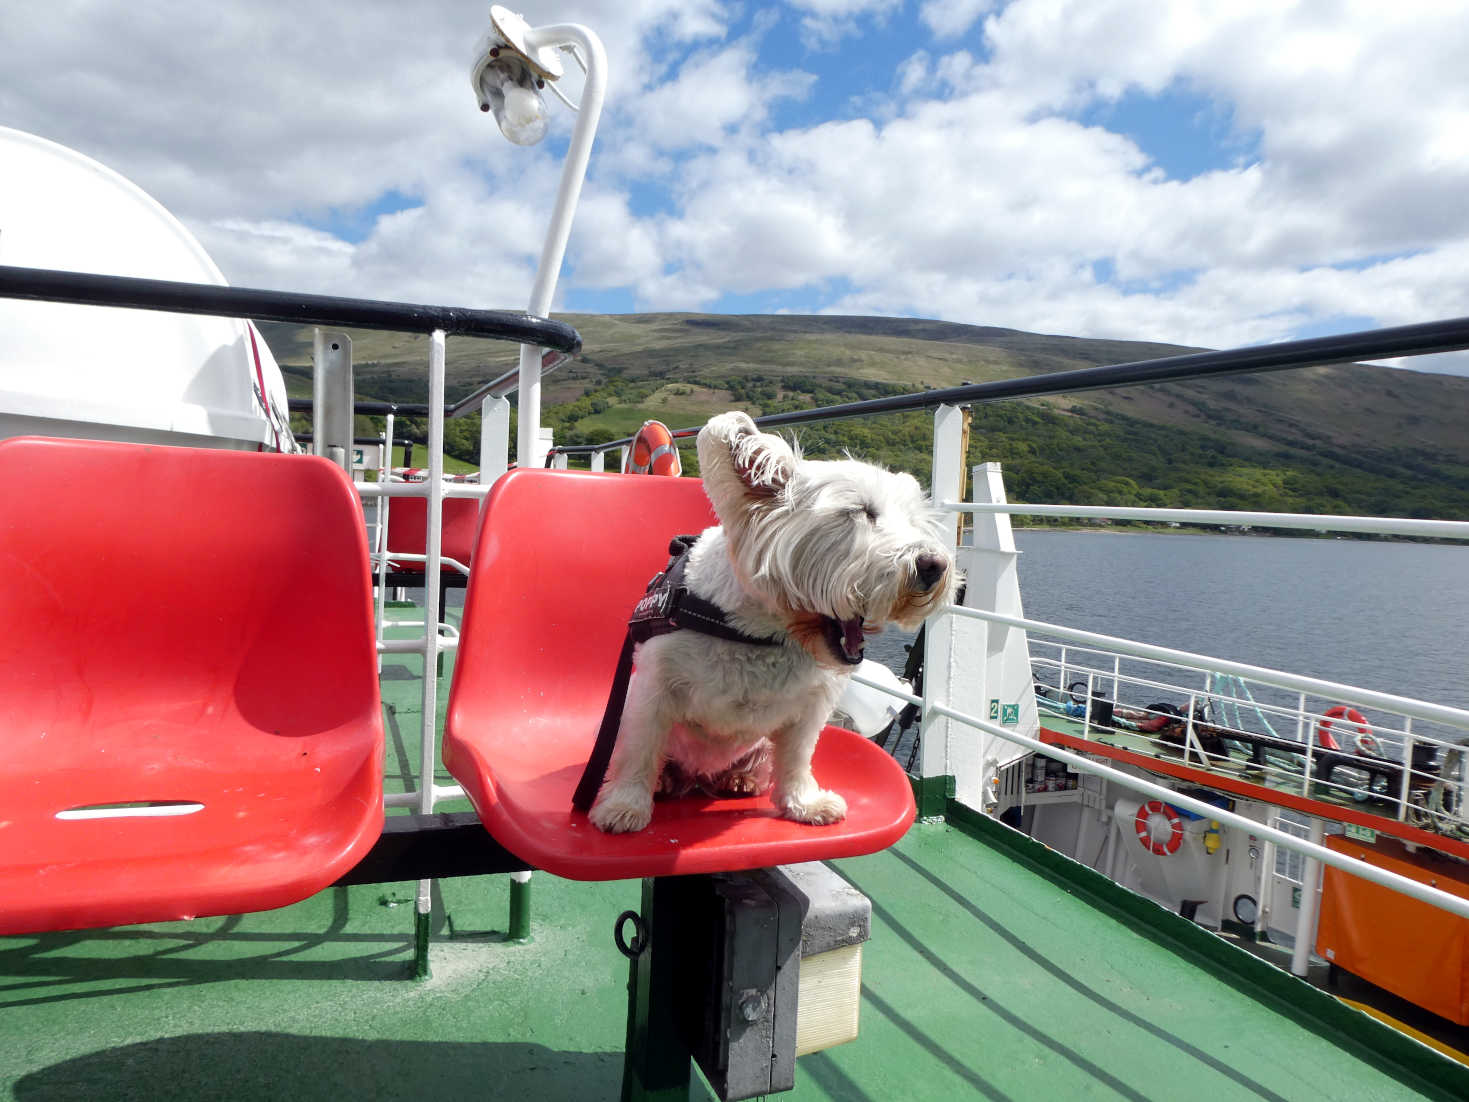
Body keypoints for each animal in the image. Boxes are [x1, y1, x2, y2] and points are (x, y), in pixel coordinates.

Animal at [590, 414, 957, 834]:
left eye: (914, 521)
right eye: (862, 511)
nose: (934, 565)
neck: (762, 632)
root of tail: (698, 778)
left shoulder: (812, 703)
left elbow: (797, 757)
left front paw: (804, 804)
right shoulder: (652, 687)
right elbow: (641, 749)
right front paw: (624, 806)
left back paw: (741, 779)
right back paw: (666, 782)